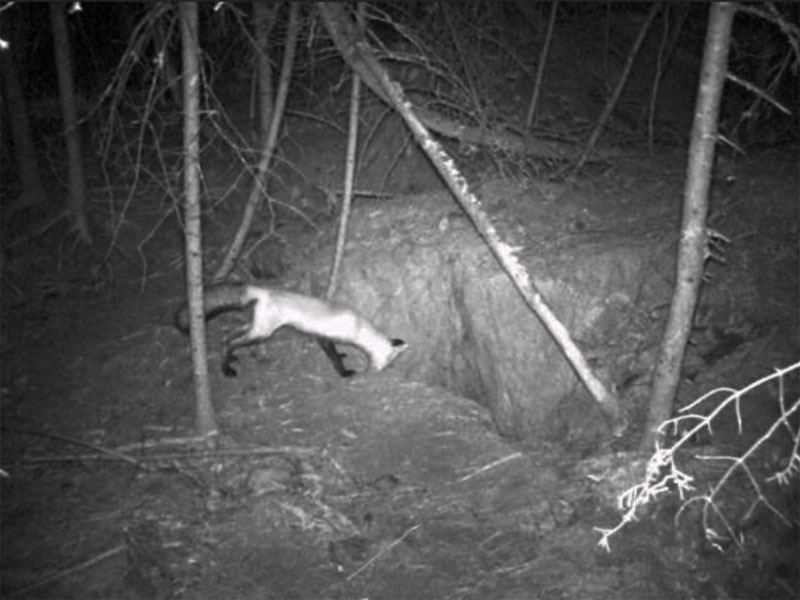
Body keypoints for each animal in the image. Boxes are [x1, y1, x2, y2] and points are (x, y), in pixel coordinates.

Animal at [174, 283, 407, 378]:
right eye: (388, 361)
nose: (379, 371)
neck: (358, 326)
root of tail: (264, 291)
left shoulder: (321, 336)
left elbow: (335, 352)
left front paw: (342, 355)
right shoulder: (323, 337)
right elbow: (333, 358)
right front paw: (344, 372)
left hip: (255, 327)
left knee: (226, 337)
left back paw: (230, 360)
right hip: (262, 332)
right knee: (232, 341)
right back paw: (226, 370)